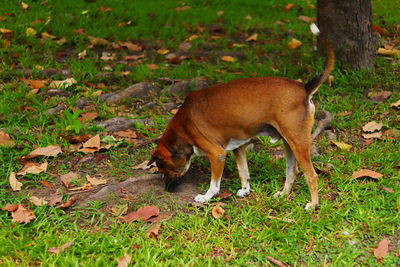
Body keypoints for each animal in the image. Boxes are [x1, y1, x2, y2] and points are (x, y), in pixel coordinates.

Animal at [148, 23, 332, 211]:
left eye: (164, 169)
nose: (166, 188)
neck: (184, 125)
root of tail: (304, 88)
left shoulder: (217, 154)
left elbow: (214, 184)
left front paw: (206, 197)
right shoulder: (239, 147)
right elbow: (243, 172)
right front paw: (245, 190)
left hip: (298, 143)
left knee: (311, 175)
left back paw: (313, 204)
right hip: (288, 142)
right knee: (292, 171)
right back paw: (283, 194)